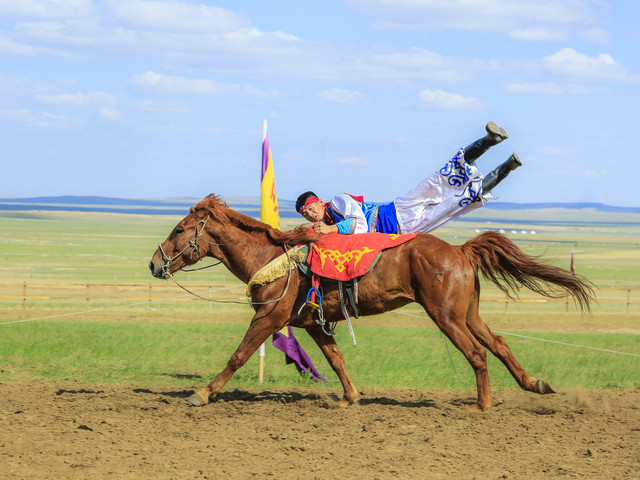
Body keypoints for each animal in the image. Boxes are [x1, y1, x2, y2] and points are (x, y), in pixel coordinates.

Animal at [148, 193, 592, 410]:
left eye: (180, 228)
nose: (154, 263)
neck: (272, 258)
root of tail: (459, 250)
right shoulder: (312, 324)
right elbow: (336, 359)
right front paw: (351, 397)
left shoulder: (270, 318)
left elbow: (238, 356)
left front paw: (201, 394)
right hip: (468, 313)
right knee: (497, 344)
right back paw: (535, 385)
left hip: (446, 316)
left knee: (477, 354)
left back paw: (481, 406)